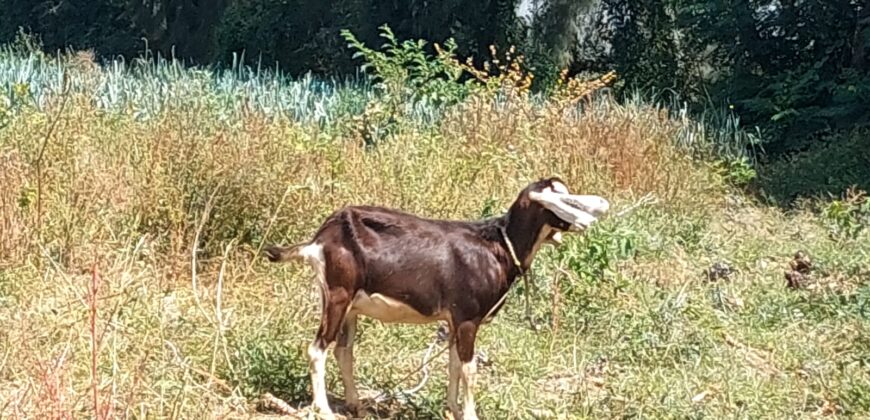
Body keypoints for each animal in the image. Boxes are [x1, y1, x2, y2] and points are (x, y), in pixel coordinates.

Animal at [266, 178, 612, 420]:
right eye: (560, 197)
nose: (588, 219)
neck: (499, 246)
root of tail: (320, 238)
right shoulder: (468, 317)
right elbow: (470, 368)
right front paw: (471, 414)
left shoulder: (455, 320)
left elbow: (454, 364)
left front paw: (453, 410)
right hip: (337, 294)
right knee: (317, 349)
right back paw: (324, 409)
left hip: (352, 305)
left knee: (343, 350)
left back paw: (356, 404)